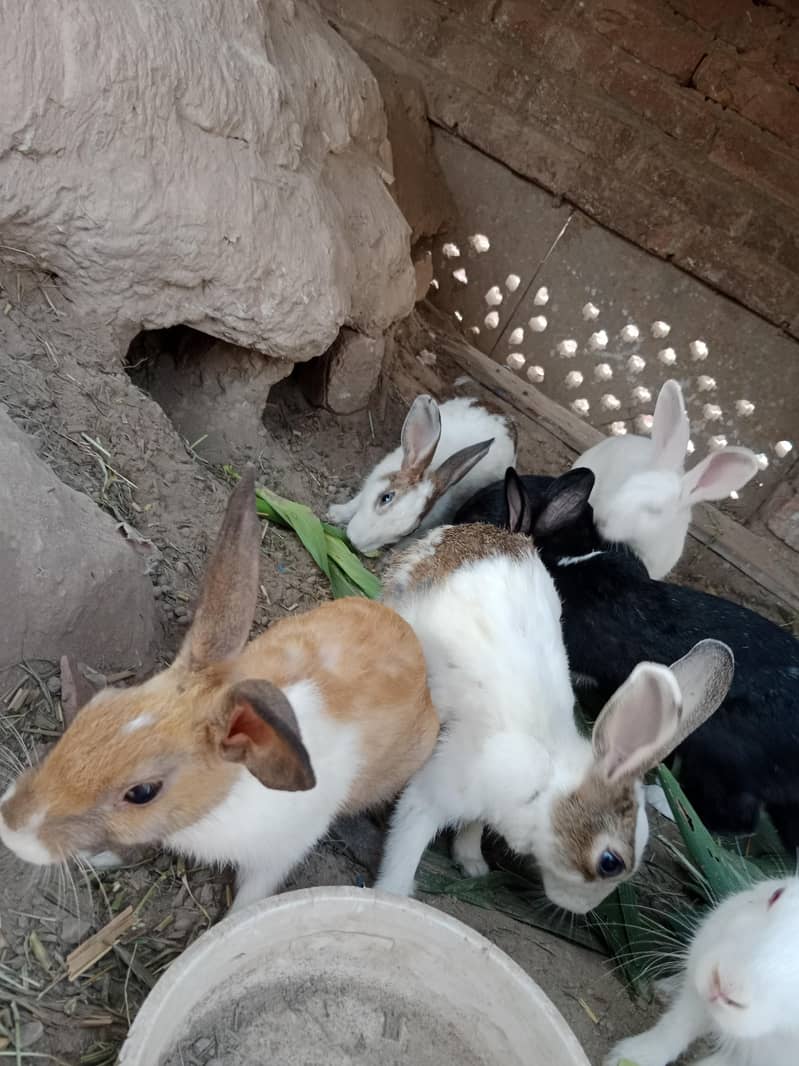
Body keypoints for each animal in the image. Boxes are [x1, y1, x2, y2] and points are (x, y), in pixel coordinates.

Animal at [0, 469, 439, 912]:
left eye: (142, 792)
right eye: (95, 711)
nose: (12, 827)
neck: (223, 798)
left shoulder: (276, 859)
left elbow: (249, 902)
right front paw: (104, 857)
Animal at [326, 393, 517, 553]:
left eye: (411, 530)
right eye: (386, 497)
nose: (356, 542)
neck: (432, 469)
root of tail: (508, 418)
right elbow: (355, 503)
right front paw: (334, 514)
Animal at [373, 519, 734, 913]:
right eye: (609, 862)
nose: (583, 910)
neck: (545, 788)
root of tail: (462, 533)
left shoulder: (478, 809)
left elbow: (471, 828)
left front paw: (472, 863)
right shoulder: (435, 795)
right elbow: (406, 846)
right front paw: (391, 895)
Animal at [456, 467, 799, 851]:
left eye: (478, 514)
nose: (453, 517)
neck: (559, 556)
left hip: (719, 755)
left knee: (738, 819)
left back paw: (665, 800)